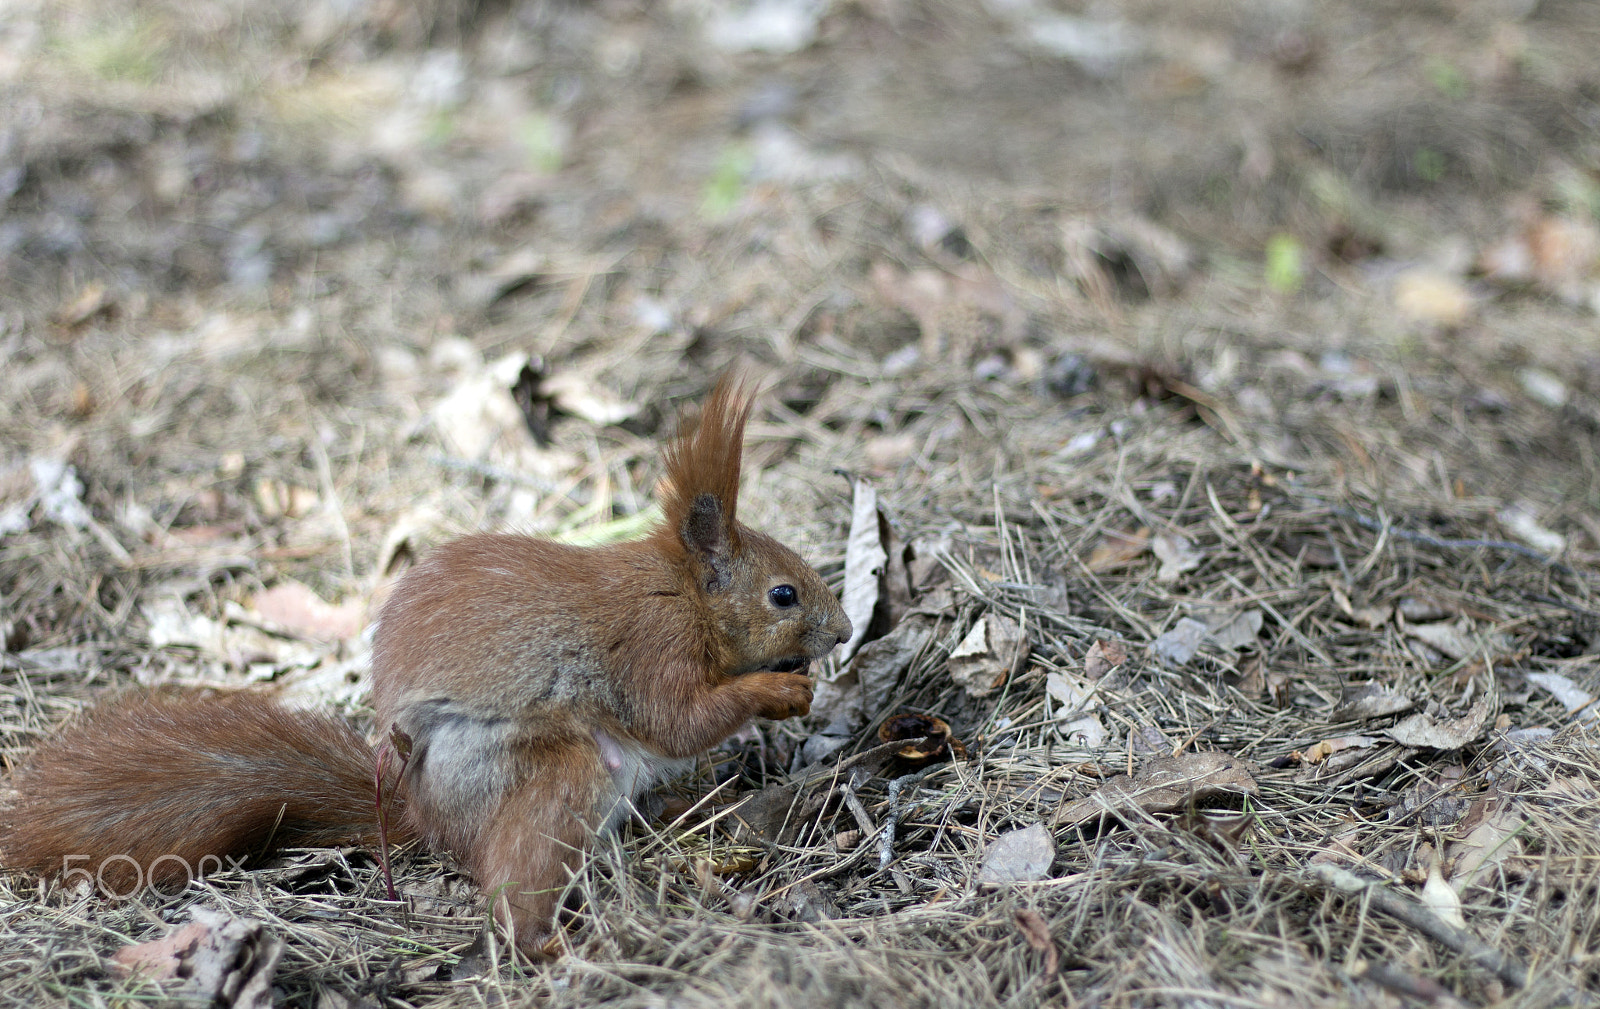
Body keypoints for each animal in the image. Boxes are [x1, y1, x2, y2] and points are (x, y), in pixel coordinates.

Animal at [3, 377, 851, 953]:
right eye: (783, 594)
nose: (844, 629)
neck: (682, 591)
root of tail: (422, 815)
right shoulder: (652, 647)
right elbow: (678, 719)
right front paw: (778, 688)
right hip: (540, 773)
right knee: (517, 874)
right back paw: (546, 942)